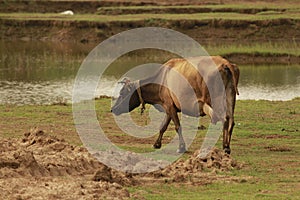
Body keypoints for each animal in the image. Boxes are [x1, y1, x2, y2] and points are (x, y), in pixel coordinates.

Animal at [110, 55, 239, 154]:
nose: (113, 109)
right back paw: (228, 147)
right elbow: (163, 126)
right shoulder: (169, 106)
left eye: (122, 93)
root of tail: (225, 63)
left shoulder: (169, 105)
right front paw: (157, 144)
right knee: (231, 120)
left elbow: (177, 127)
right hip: (230, 98)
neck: (161, 79)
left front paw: (181, 148)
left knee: (224, 119)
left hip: (215, 101)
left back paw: (225, 147)